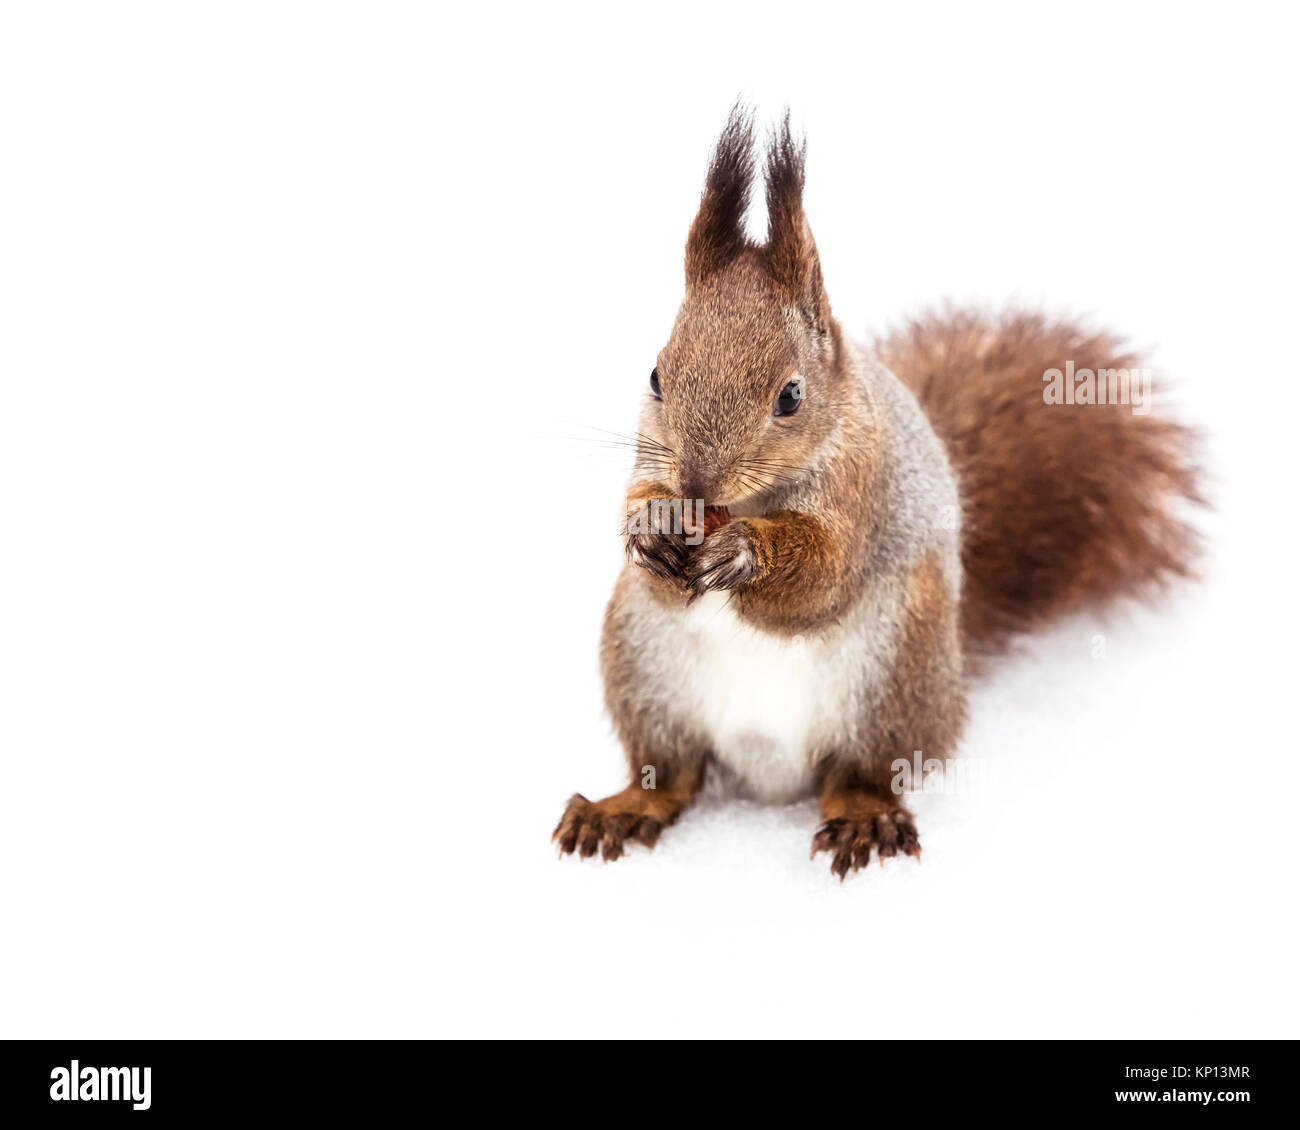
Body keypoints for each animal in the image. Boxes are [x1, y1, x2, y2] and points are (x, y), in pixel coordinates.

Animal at [553, 107, 1201, 878]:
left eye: (791, 396)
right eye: (655, 376)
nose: (698, 484)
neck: (750, 499)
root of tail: (767, 772)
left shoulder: (865, 484)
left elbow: (825, 572)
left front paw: (745, 552)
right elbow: (646, 527)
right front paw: (651, 524)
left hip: (892, 676)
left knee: (859, 772)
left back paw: (864, 820)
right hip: (644, 668)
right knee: (670, 772)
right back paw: (623, 808)